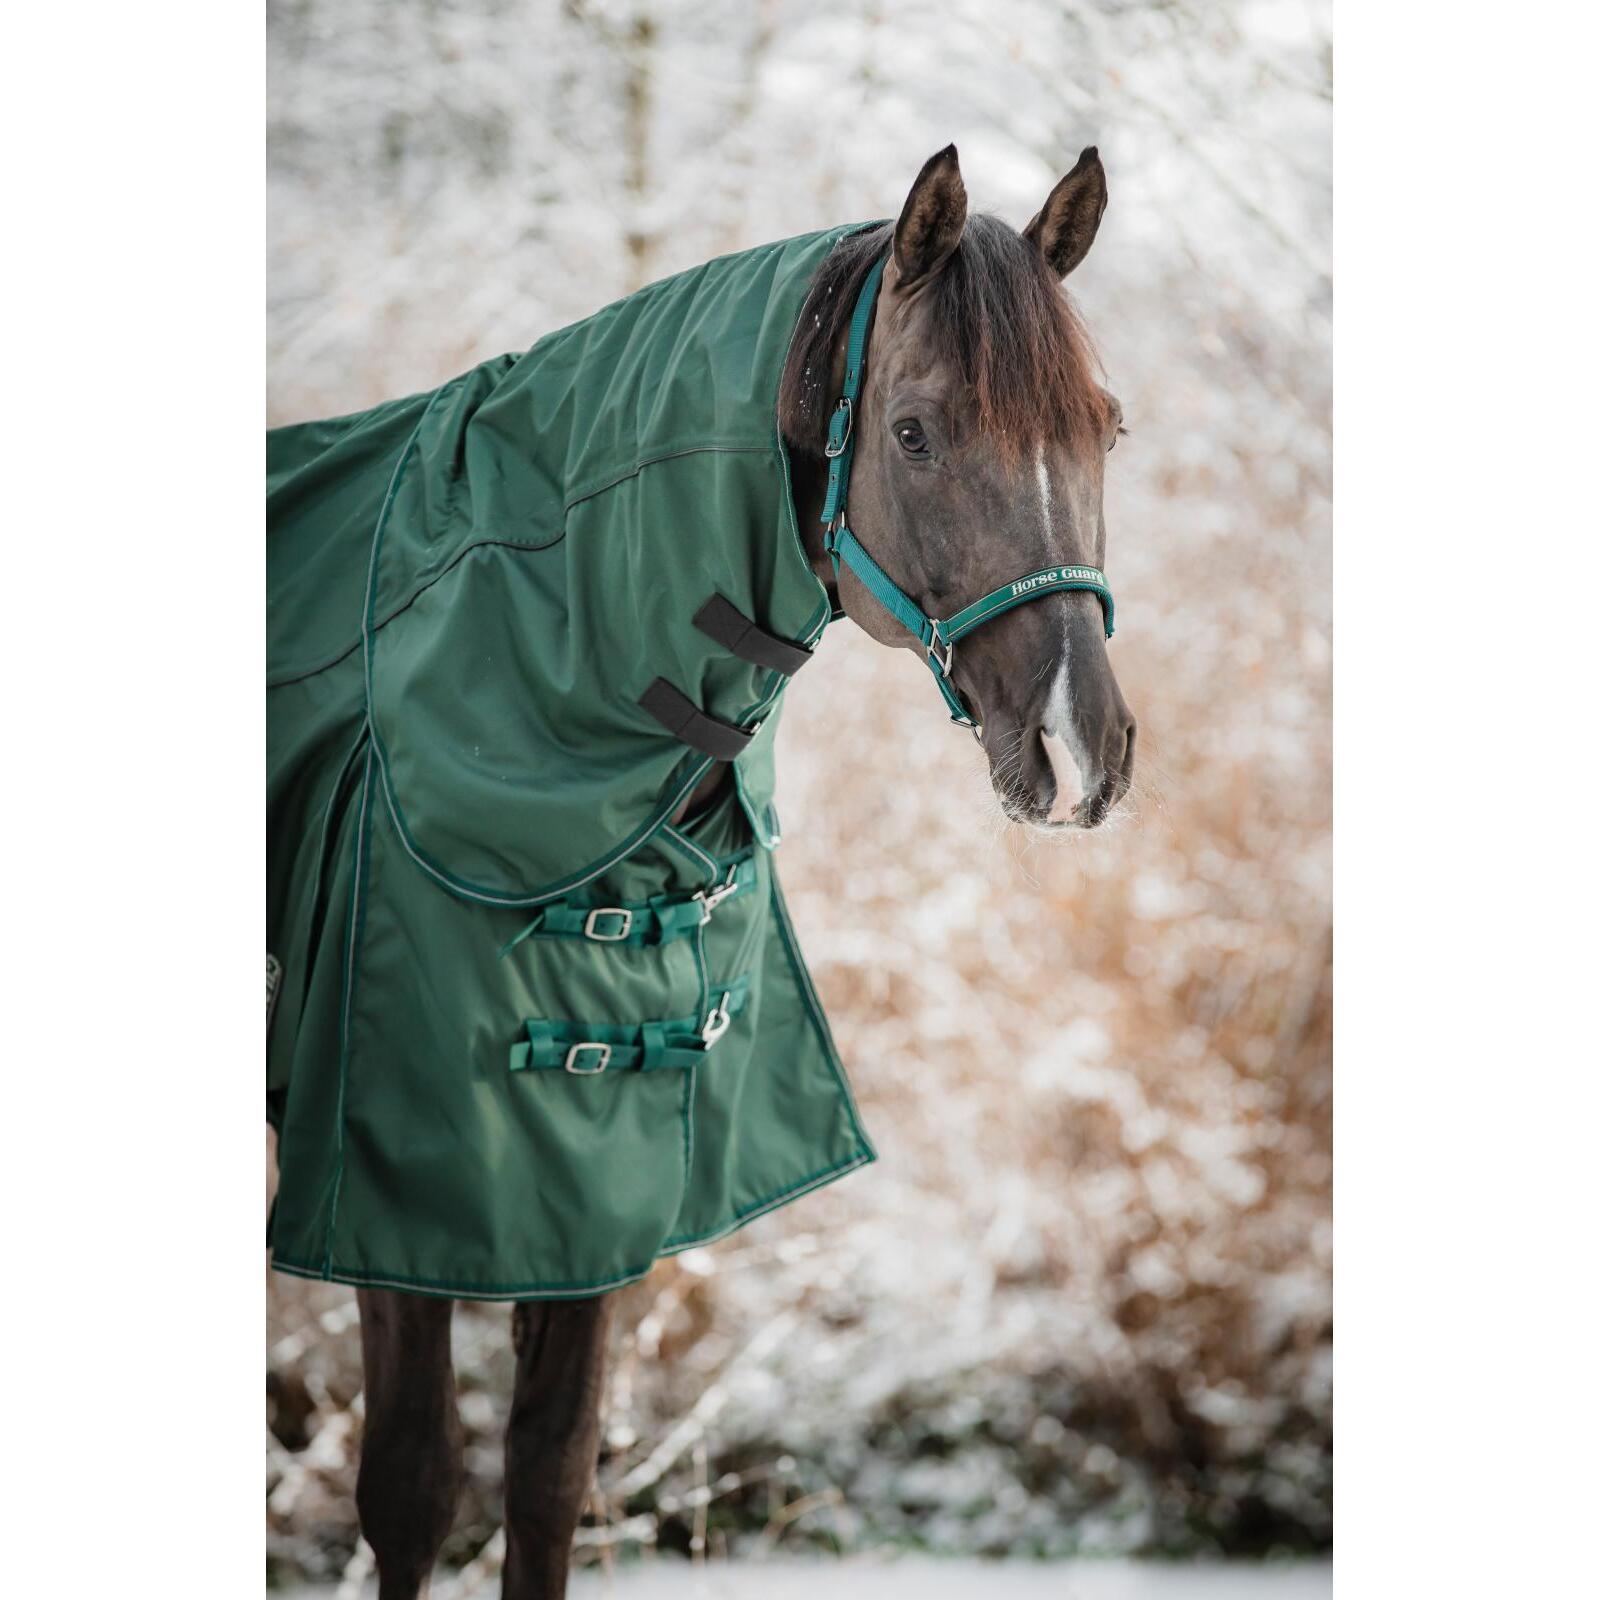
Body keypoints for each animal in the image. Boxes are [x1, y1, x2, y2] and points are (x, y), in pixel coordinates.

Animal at [268, 143, 1133, 1599]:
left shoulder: (591, 1196)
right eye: (914, 432)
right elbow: (412, 1485)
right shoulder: (402, 1203)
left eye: (1105, 430)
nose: (1081, 750)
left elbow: (549, 1473)